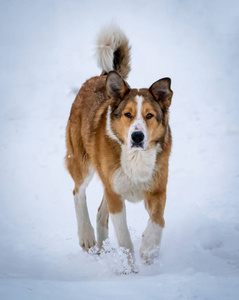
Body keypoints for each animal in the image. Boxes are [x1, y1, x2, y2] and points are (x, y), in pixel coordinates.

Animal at [65, 25, 173, 264]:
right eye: (128, 114)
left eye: (149, 115)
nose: (137, 137)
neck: (136, 158)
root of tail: (102, 76)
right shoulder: (115, 195)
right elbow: (124, 237)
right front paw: (128, 265)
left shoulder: (157, 190)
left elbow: (158, 220)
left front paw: (148, 247)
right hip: (82, 163)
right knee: (78, 192)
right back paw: (86, 236)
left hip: (110, 182)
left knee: (100, 213)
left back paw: (103, 247)